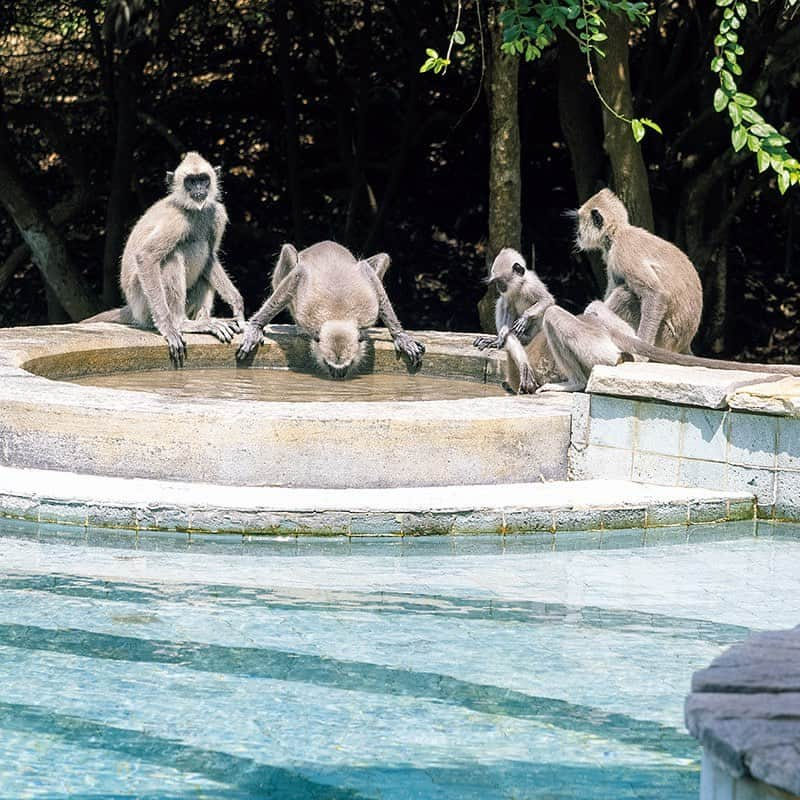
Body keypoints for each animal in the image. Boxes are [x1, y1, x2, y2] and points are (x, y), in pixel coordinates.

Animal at [85, 152, 245, 368]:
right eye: (190, 181)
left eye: (203, 179)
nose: (199, 189)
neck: (193, 211)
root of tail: (132, 308)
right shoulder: (176, 219)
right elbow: (146, 256)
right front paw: (168, 328)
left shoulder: (216, 212)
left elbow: (211, 257)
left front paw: (238, 306)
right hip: (143, 302)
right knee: (172, 255)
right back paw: (182, 323)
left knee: (203, 256)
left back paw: (203, 319)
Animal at [236, 239, 428, 380]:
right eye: (329, 365)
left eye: (348, 365)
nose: (338, 375)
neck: (338, 315)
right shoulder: (306, 312)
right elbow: (297, 274)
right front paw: (256, 327)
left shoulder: (369, 309)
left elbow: (370, 275)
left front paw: (400, 336)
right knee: (289, 253)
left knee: (378, 260)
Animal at [472, 244, 552, 394]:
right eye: (496, 282)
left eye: (500, 281)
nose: (498, 287)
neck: (520, 285)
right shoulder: (509, 294)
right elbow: (508, 307)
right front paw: (500, 337)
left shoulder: (532, 284)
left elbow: (547, 301)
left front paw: (525, 318)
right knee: (501, 302)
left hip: (534, 332)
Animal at [576, 189, 700, 352]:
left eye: (581, 221)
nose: (578, 233)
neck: (617, 232)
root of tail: (684, 344)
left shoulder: (622, 251)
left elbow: (656, 294)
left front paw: (643, 347)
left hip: (663, 335)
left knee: (625, 294)